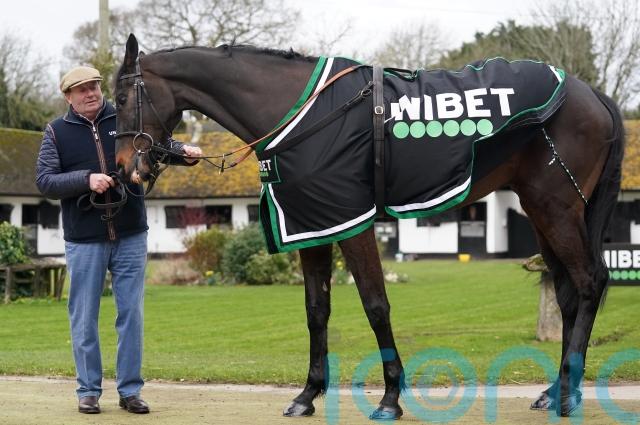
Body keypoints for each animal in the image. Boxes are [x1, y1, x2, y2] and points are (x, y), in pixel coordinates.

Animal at [113, 34, 624, 419]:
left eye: (121, 98)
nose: (123, 169)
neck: (306, 112)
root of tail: (591, 94)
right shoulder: (314, 226)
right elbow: (316, 311)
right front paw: (307, 394)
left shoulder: (352, 224)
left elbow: (376, 306)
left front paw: (390, 398)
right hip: (541, 210)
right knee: (566, 294)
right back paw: (556, 390)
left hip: (556, 207)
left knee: (589, 281)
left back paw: (567, 393)